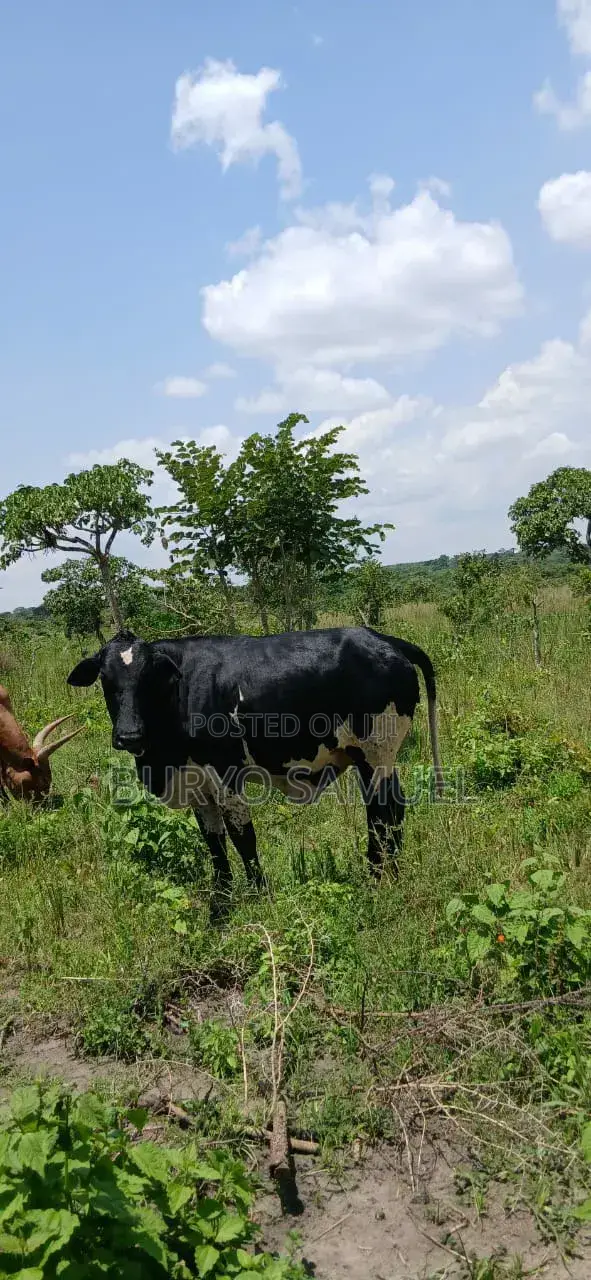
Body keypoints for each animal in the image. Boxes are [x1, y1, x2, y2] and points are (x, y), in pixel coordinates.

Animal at [67, 627, 442, 895]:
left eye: (147, 678)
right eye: (106, 679)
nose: (129, 736)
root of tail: (382, 639)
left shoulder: (226, 774)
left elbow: (242, 836)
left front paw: (259, 892)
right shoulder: (196, 783)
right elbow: (214, 841)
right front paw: (223, 895)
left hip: (374, 752)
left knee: (380, 813)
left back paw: (376, 877)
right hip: (378, 758)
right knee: (394, 808)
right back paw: (392, 871)